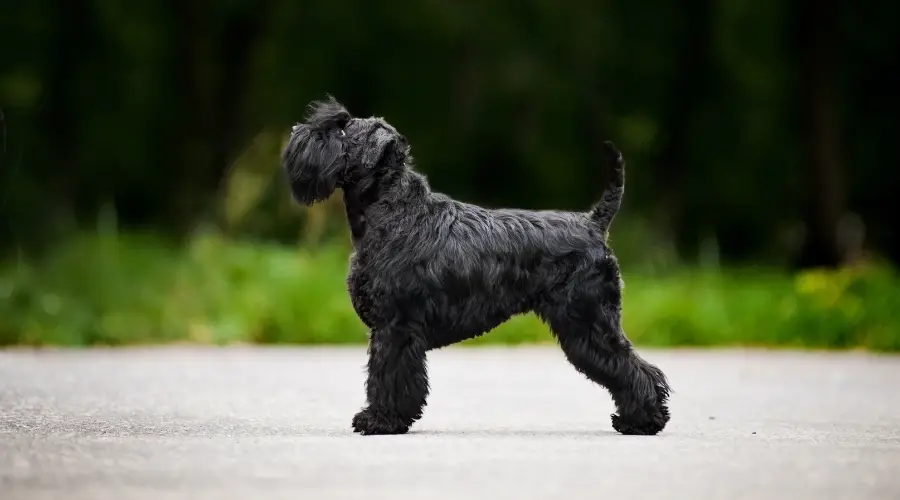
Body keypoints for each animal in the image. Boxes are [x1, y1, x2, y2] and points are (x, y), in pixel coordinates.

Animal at [282, 95, 668, 436]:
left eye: (342, 129)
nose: (295, 132)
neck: (394, 212)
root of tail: (593, 224)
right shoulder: (389, 328)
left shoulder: (396, 327)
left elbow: (388, 376)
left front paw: (380, 421)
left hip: (589, 323)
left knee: (634, 369)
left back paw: (643, 422)